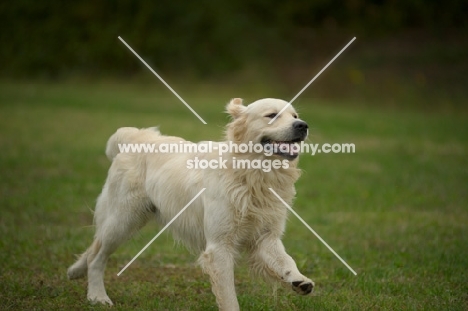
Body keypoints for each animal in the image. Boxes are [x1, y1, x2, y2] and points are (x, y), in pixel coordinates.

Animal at [66, 97, 314, 310]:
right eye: (272, 115)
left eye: (295, 115)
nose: (303, 125)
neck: (252, 174)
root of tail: (137, 137)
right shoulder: (219, 247)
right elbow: (229, 297)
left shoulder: (265, 237)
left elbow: (286, 260)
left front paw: (299, 280)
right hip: (123, 220)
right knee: (97, 255)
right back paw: (97, 296)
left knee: (94, 247)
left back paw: (76, 271)